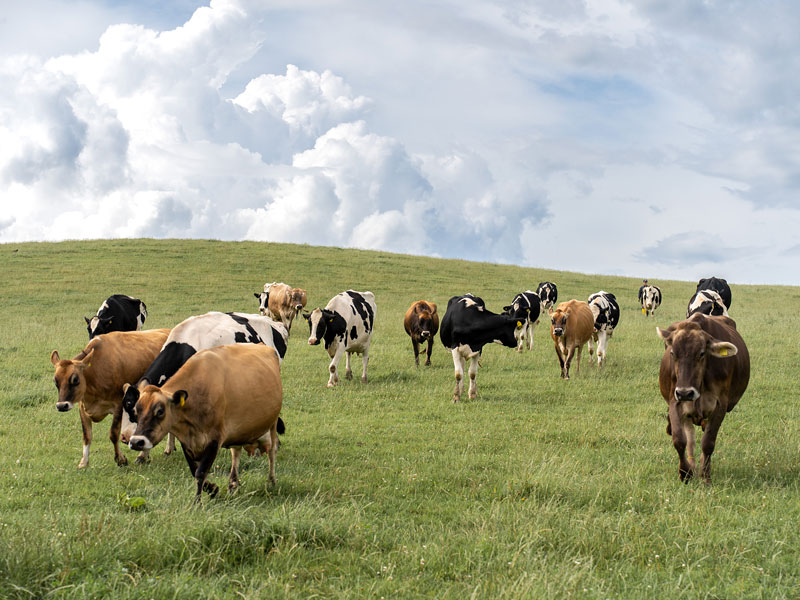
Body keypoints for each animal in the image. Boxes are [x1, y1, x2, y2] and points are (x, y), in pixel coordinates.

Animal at [48, 328, 170, 468]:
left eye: (75, 379)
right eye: (55, 381)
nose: (62, 406)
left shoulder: (118, 405)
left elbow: (113, 434)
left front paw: (120, 459)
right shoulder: (82, 407)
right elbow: (87, 435)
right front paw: (84, 462)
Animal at [126, 342, 282, 502]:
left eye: (160, 411)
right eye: (136, 411)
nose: (136, 442)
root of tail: (263, 346)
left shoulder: (215, 439)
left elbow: (200, 472)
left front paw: (197, 502)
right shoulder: (186, 441)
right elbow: (194, 470)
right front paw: (213, 489)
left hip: (273, 422)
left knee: (272, 450)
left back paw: (271, 481)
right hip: (240, 430)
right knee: (236, 452)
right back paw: (233, 484)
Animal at [656, 312, 752, 486]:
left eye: (701, 353)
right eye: (673, 353)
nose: (685, 393)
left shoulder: (720, 405)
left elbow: (708, 442)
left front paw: (705, 476)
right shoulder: (675, 401)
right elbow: (680, 440)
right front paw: (685, 473)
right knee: (690, 438)